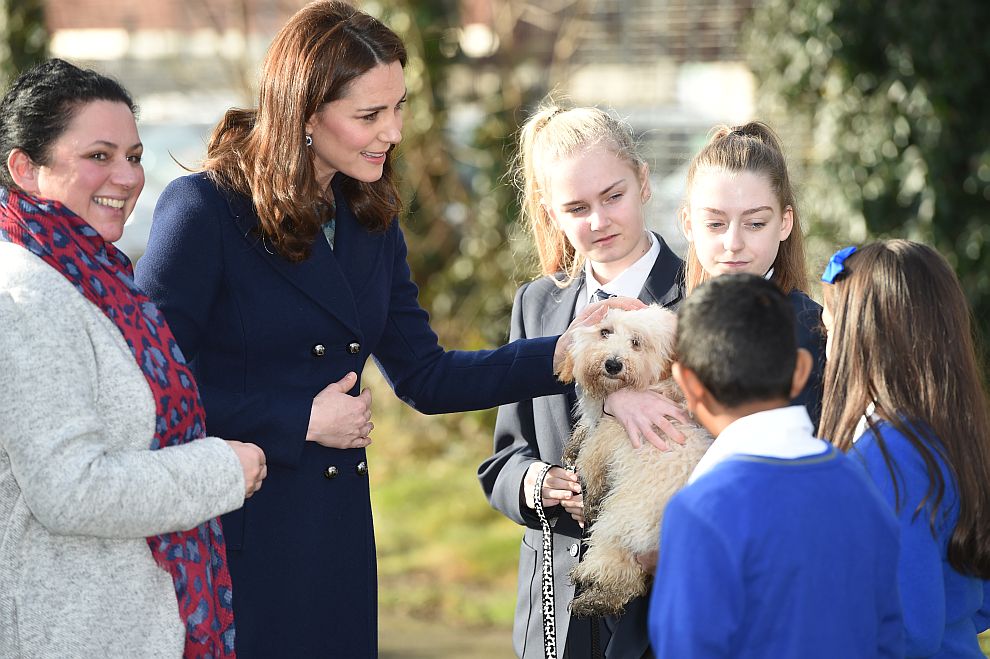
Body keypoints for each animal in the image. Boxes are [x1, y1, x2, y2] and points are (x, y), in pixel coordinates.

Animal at [560, 304, 712, 620]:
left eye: (636, 342)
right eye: (605, 331)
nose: (613, 364)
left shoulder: (608, 438)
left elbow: (590, 466)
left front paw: (588, 498)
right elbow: (584, 433)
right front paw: (572, 445)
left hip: (618, 524)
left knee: (623, 577)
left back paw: (591, 594)